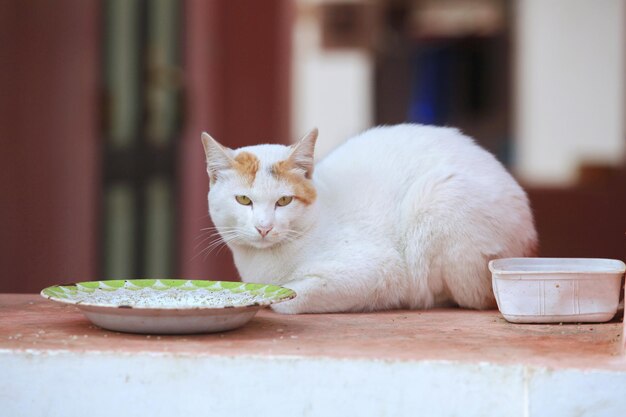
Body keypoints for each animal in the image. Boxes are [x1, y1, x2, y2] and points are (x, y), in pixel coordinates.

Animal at [201, 125, 536, 314]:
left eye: (284, 201)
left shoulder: (380, 270)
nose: (264, 227)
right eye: (244, 200)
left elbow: (291, 299)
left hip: (439, 197)